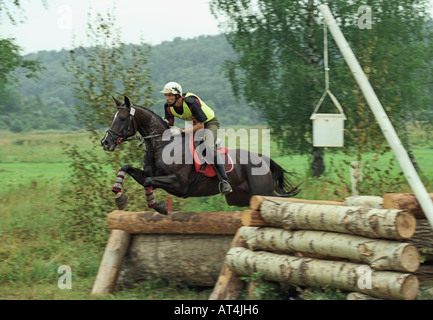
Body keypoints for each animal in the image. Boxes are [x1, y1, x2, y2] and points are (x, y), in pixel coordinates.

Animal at [100, 96, 300, 214]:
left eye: (122, 118)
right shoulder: (151, 176)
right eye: (112, 118)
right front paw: (119, 197)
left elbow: (148, 182)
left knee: (278, 199)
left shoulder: (178, 183)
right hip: (241, 197)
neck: (161, 145)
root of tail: (262, 158)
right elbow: (127, 168)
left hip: (262, 190)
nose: (105, 142)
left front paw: (159, 207)